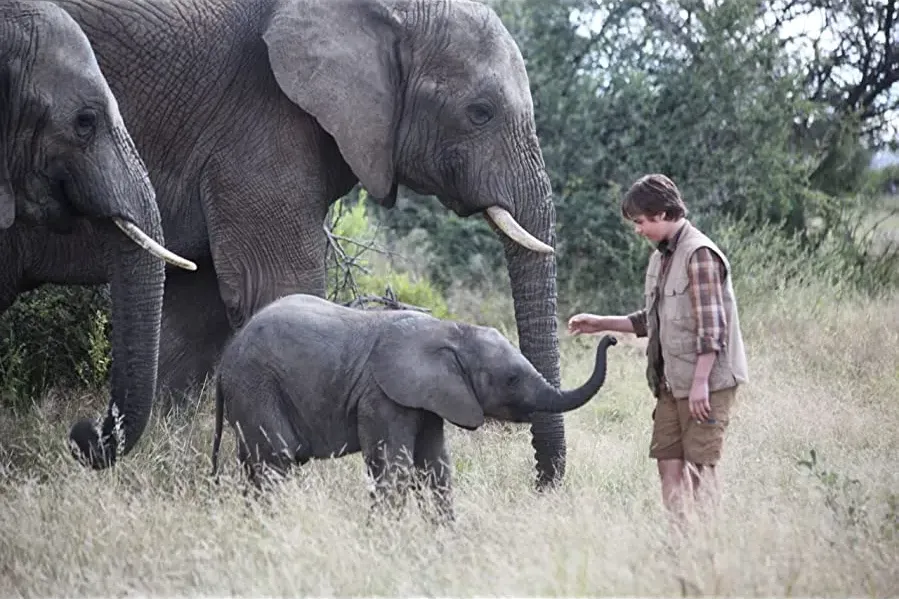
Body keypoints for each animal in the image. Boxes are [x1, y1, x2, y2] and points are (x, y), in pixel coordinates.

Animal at [33, 0, 569, 487]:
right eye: (479, 113)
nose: (543, 485)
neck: (388, 12)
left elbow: (198, 319)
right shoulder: (260, 121)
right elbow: (277, 289)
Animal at [210, 294, 618, 520]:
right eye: (512, 379)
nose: (611, 339)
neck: (452, 331)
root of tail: (224, 360)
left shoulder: (430, 399)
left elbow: (435, 468)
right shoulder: (383, 396)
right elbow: (394, 468)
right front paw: (380, 544)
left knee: (256, 464)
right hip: (257, 385)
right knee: (275, 461)